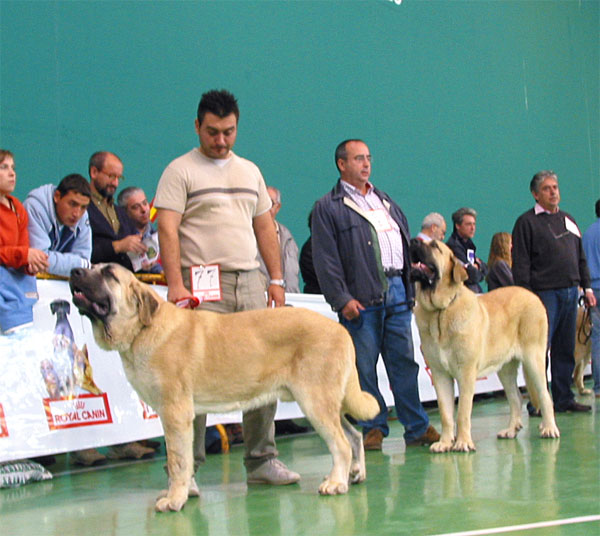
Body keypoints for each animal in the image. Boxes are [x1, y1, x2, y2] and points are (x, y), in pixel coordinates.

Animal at [70, 262, 378, 510]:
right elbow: (184, 460)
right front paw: (181, 493)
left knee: (341, 443)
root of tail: (340, 329)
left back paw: (336, 483)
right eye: (92, 267)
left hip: (315, 401)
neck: (142, 329)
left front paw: (175, 499)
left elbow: (177, 461)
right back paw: (355, 475)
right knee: (353, 436)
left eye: (109, 274)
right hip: (324, 403)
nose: (74, 272)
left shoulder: (175, 413)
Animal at [410, 241, 560, 454]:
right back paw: (511, 430)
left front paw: (463, 442)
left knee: (545, 396)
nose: (413, 241)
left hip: (534, 359)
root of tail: (533, 296)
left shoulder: (466, 373)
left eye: (434, 246)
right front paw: (445, 442)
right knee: (516, 398)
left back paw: (549, 428)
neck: (441, 310)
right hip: (505, 369)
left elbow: (462, 412)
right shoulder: (440, 375)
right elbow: (446, 414)